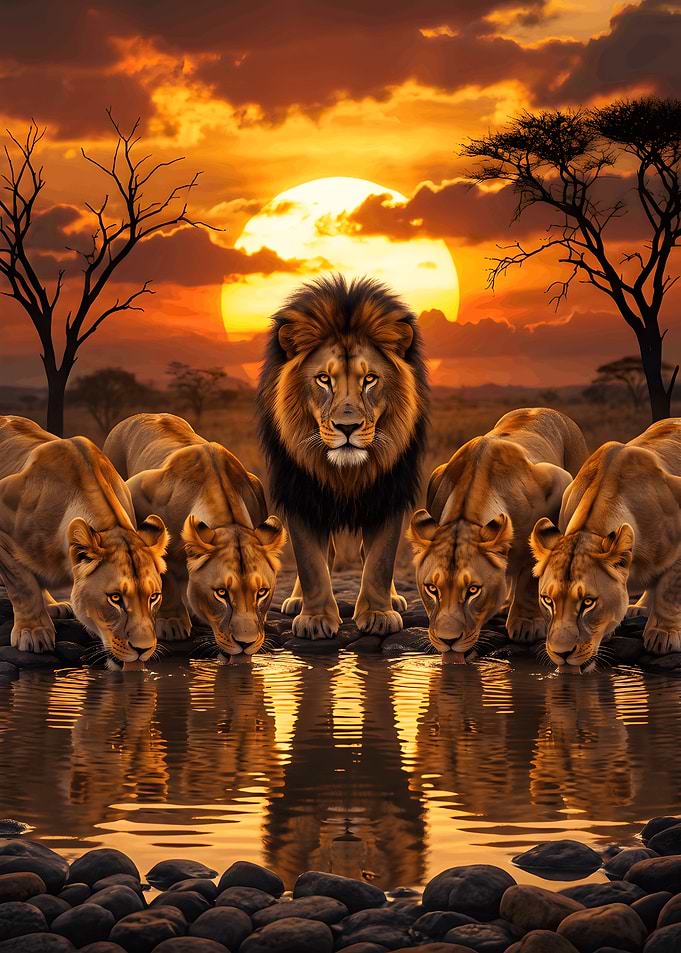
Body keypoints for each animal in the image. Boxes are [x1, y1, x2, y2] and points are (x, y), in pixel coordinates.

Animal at [0, 416, 168, 667]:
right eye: (115, 598)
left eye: (154, 597)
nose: (143, 649)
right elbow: (22, 584)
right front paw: (33, 631)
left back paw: (55, 606)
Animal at [104, 413, 286, 657]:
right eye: (221, 593)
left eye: (262, 593)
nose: (246, 643)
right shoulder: (137, 492)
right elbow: (163, 572)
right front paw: (171, 622)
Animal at [257, 274, 428, 639]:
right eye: (324, 379)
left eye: (370, 379)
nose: (347, 427)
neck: (346, 473)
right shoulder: (301, 492)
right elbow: (310, 560)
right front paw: (316, 618)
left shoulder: (389, 490)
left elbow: (380, 558)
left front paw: (379, 613)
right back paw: (296, 600)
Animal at [407, 408, 588, 660]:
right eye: (432, 589)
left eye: (473, 590)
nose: (447, 640)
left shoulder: (558, 483)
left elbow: (531, 572)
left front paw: (526, 624)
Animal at [531, 418, 681, 671]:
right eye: (547, 600)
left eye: (588, 602)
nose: (561, 653)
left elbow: (669, 590)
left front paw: (663, 635)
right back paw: (638, 608)